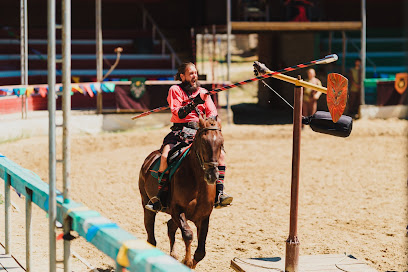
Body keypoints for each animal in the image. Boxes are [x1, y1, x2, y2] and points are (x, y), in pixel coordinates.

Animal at [139, 115, 225, 268]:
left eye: (221, 143)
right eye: (203, 142)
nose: (212, 175)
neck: (197, 182)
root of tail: (149, 160)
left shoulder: (204, 216)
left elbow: (201, 251)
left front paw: (190, 263)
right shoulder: (177, 210)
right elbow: (188, 234)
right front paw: (187, 261)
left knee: (170, 226)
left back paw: (173, 255)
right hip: (146, 203)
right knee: (151, 235)